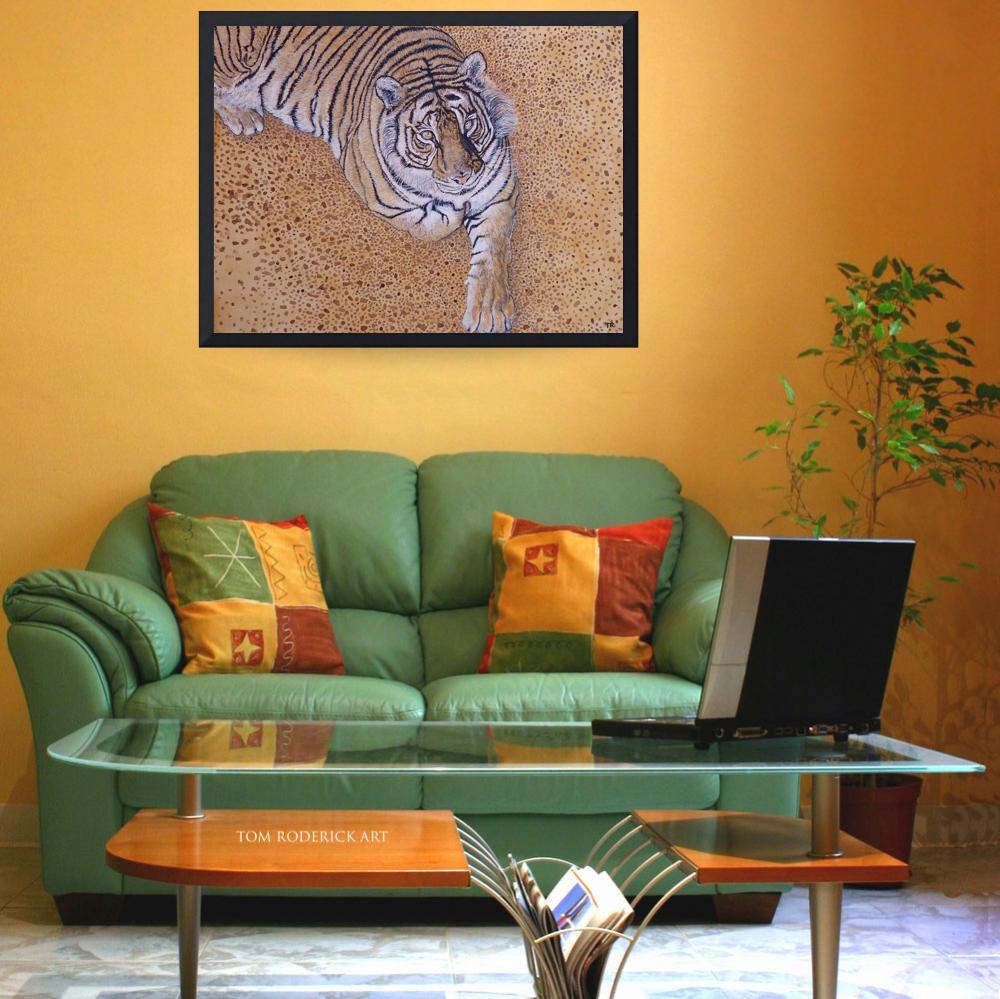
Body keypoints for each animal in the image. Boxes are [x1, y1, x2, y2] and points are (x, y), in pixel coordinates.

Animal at [213, 25, 519, 334]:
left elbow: (492, 254)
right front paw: (452, 211)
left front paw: (489, 313)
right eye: (427, 136)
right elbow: (430, 227)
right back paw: (244, 114)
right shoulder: (377, 193)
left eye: (468, 124)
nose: (463, 176)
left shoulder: (498, 192)